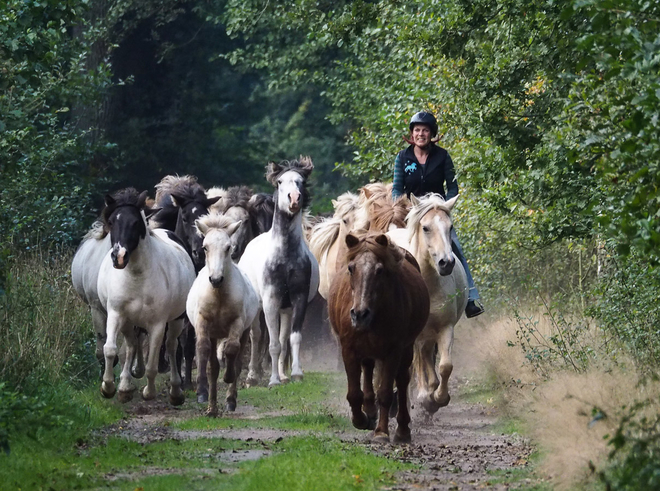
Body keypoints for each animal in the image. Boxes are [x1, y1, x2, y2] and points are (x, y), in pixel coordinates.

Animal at [97, 188, 196, 404]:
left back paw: (176, 392)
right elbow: (110, 349)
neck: (137, 277)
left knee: (171, 346)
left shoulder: (157, 324)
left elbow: (153, 364)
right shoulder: (116, 314)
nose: (119, 257)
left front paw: (148, 393)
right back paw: (125, 387)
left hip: (176, 320)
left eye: (136, 222)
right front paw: (108, 388)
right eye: (112, 222)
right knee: (132, 345)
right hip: (128, 322)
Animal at [186, 213, 260, 418]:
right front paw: (201, 389)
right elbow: (202, 350)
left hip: (244, 331)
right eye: (205, 247)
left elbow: (232, 350)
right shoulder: (202, 322)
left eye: (228, 247)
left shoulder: (237, 323)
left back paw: (230, 401)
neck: (219, 295)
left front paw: (228, 377)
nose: (216, 279)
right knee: (213, 366)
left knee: (237, 361)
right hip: (214, 334)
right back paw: (212, 408)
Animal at [238, 158, 320, 388]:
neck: (286, 257)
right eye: (280, 182)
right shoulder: (270, 301)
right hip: (259, 307)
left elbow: (292, 338)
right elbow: (272, 343)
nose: (294, 199)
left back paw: (283, 375)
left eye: (301, 181)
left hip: (286, 309)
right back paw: (253, 377)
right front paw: (273, 380)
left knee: (283, 339)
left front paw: (295, 374)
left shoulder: (298, 299)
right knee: (256, 336)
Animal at [328, 233, 430, 444]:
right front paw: (361, 419)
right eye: (351, 268)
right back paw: (369, 410)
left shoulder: (394, 350)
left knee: (402, 380)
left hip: (406, 349)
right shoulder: (348, 349)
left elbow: (385, 393)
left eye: (380, 270)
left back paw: (402, 430)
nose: (359, 314)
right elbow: (354, 393)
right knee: (368, 369)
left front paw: (382, 432)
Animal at [386, 193, 470, 416]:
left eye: (450, 227)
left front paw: (438, 398)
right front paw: (425, 397)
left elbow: (445, 366)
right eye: (425, 227)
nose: (446, 263)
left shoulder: (444, 327)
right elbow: (414, 366)